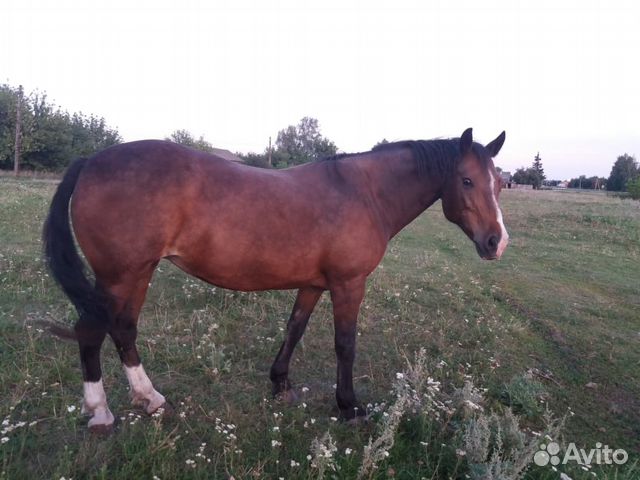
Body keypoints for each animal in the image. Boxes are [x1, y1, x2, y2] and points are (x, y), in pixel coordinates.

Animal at [42, 126, 508, 432]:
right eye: (467, 180)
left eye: (500, 183)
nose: (496, 242)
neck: (364, 193)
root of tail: (90, 161)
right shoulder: (348, 284)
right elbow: (345, 345)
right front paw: (349, 406)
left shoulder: (314, 283)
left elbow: (294, 329)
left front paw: (280, 382)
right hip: (119, 275)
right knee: (92, 331)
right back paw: (101, 412)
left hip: (137, 272)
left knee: (123, 329)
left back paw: (150, 399)